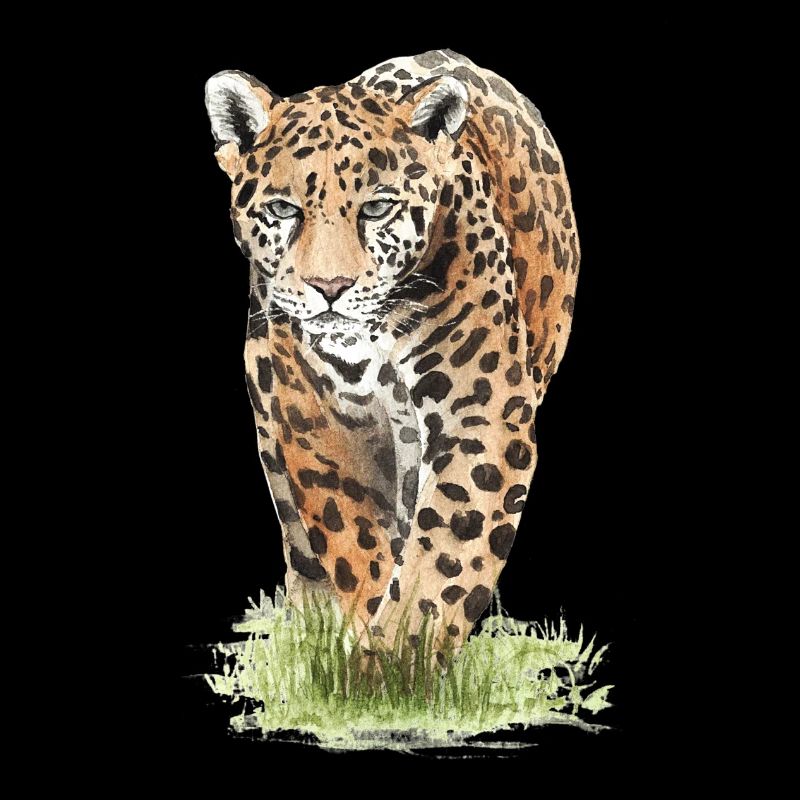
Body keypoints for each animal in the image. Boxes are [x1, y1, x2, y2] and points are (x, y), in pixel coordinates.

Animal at [204, 49, 580, 661]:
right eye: (282, 209)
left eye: (378, 208)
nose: (329, 287)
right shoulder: (319, 419)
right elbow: (354, 541)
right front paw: (367, 651)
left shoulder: (481, 417)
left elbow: (446, 556)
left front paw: (400, 661)